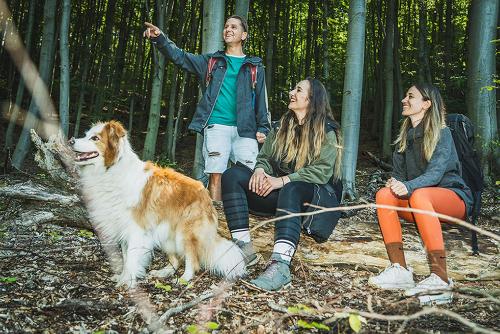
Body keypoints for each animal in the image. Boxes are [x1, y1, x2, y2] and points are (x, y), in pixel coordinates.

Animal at [70, 121, 246, 288]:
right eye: (86, 135)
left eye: (95, 138)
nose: (71, 140)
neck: (112, 169)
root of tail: (206, 194)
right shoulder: (124, 228)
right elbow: (126, 258)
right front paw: (122, 278)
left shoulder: (136, 230)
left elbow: (132, 258)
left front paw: (129, 284)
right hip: (166, 236)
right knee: (176, 260)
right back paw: (163, 272)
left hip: (186, 233)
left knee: (193, 261)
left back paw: (184, 278)